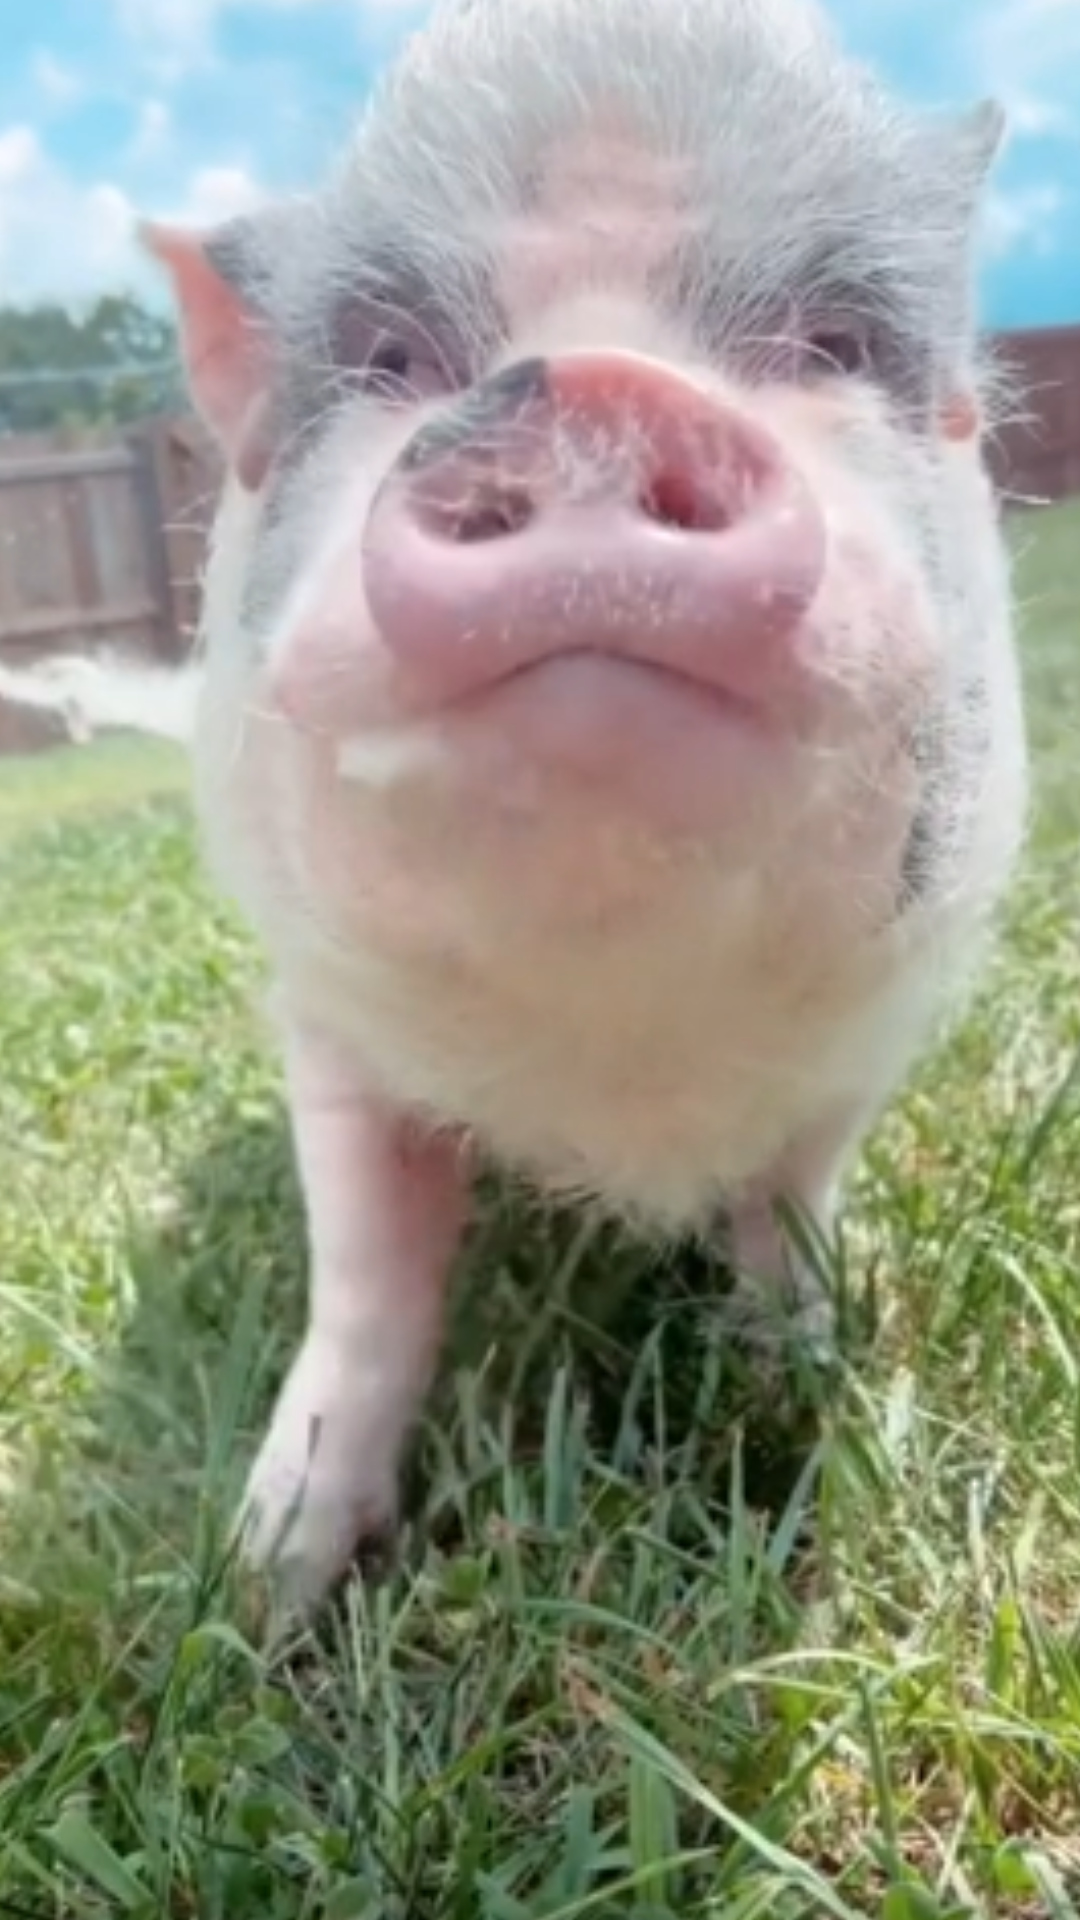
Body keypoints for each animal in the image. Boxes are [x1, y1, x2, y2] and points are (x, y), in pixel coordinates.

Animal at [142, 0, 1029, 1613]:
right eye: (392, 355)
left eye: (830, 342)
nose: (607, 386)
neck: (615, 1040)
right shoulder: (327, 1020)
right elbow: (369, 1276)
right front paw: (264, 1586)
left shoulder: (867, 1036)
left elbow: (790, 1212)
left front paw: (794, 1390)